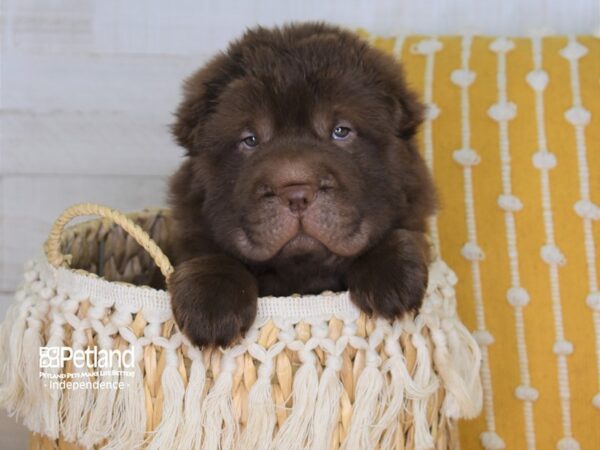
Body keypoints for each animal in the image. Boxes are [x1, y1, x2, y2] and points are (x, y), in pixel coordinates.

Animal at [169, 22, 436, 348]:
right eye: (250, 140)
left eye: (341, 131)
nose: (296, 192)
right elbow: (209, 250)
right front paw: (212, 305)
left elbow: (397, 232)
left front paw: (391, 277)